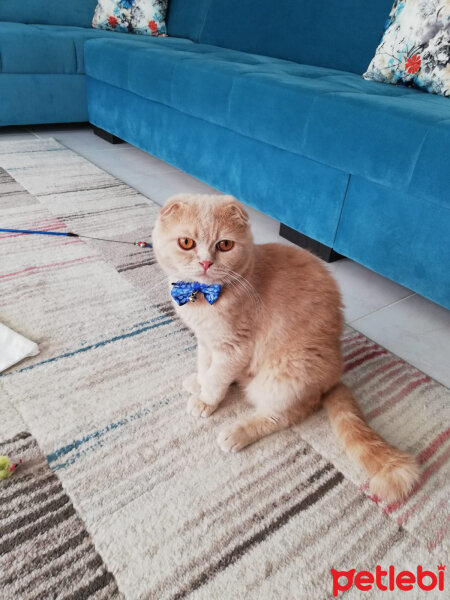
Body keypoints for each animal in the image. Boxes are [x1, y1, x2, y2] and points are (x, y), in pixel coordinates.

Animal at [153, 193, 420, 502]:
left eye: (224, 245)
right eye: (187, 243)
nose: (206, 263)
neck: (203, 297)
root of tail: (333, 379)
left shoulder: (233, 348)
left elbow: (216, 378)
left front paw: (206, 400)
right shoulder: (206, 341)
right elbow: (205, 366)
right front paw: (199, 381)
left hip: (285, 375)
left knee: (282, 416)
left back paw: (236, 434)